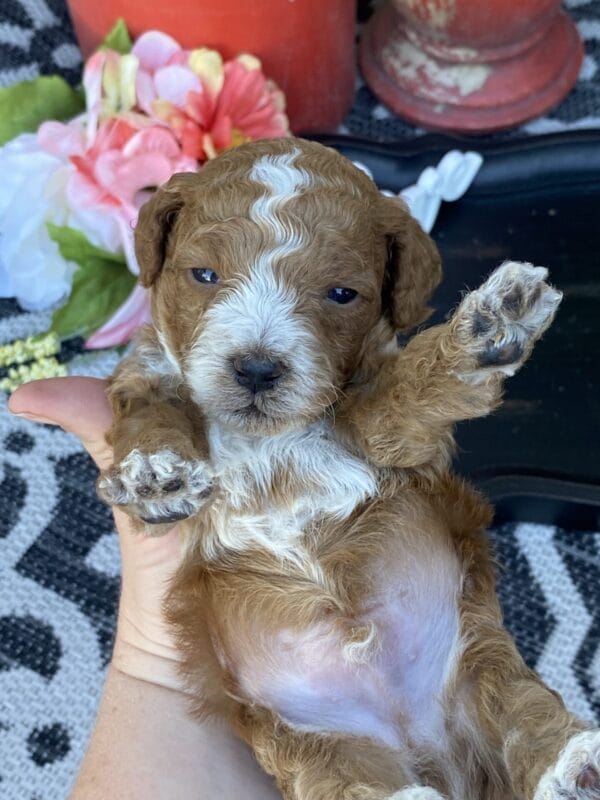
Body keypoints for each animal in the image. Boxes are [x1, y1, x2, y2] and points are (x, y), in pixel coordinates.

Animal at [96, 139, 596, 800]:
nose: (256, 369)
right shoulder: (145, 372)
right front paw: (155, 473)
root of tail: (423, 747)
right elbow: (151, 406)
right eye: (203, 275)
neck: (268, 439)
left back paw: (573, 761)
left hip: (477, 660)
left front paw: (488, 328)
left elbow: (406, 391)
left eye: (341, 294)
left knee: (515, 706)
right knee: (345, 774)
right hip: (304, 736)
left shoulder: (389, 437)